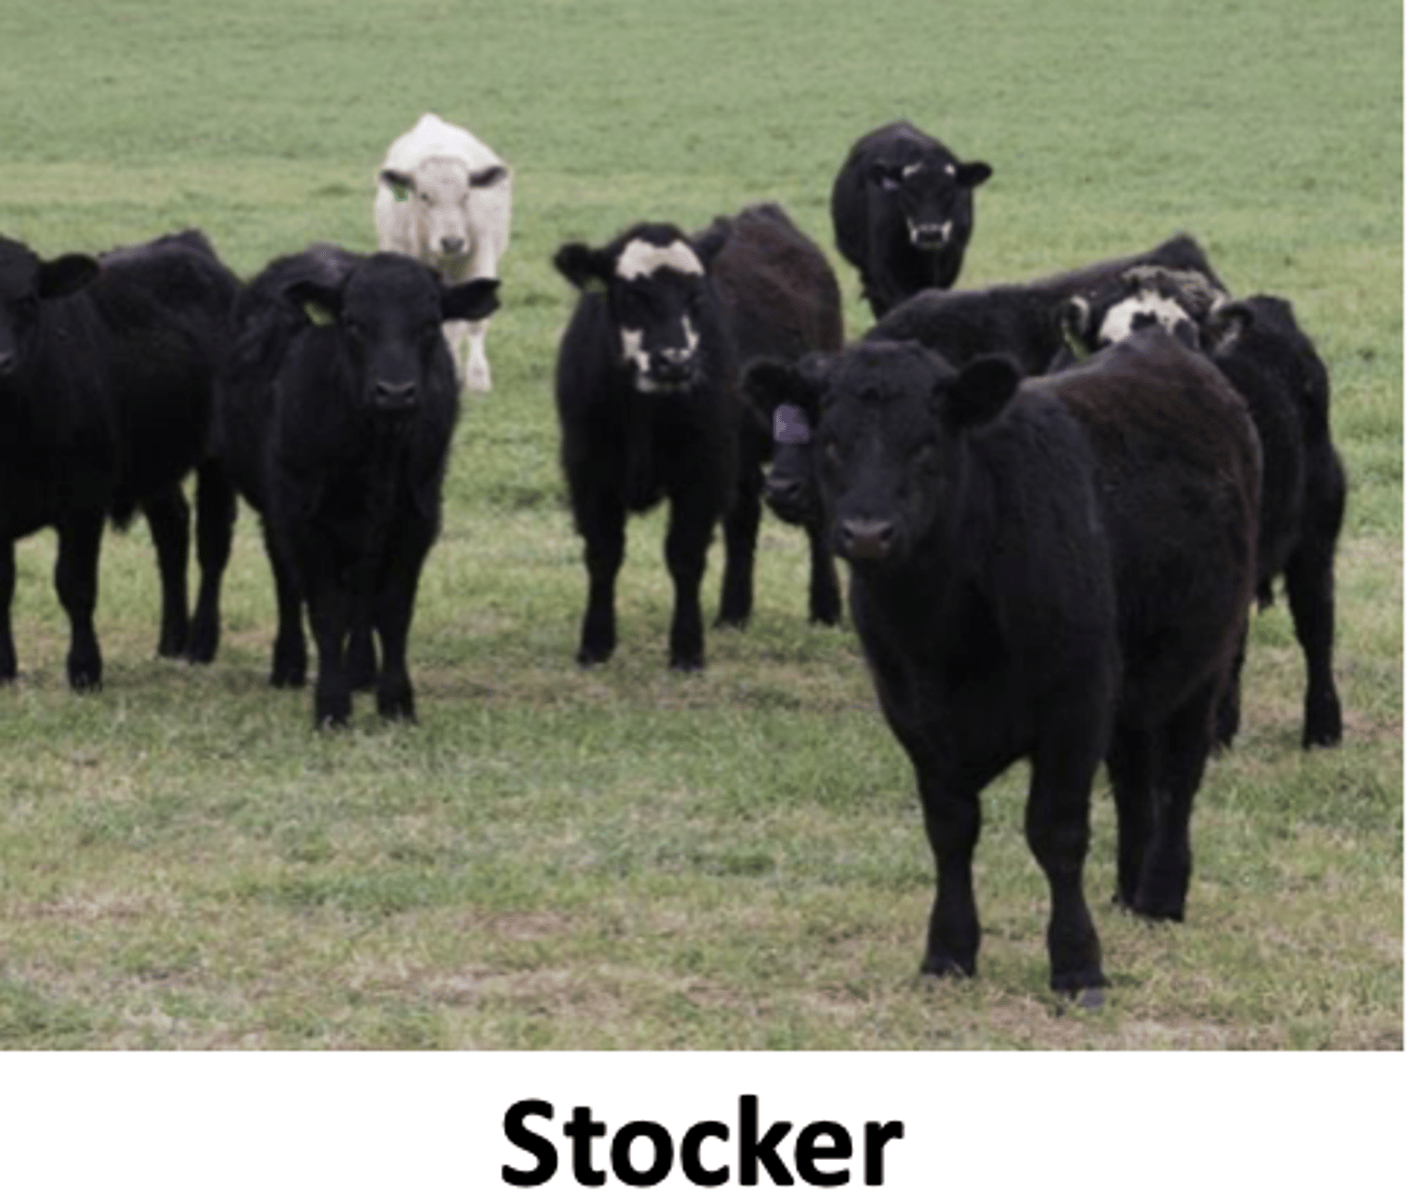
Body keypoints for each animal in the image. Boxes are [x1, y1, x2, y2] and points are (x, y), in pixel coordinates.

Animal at [0, 230, 238, 690]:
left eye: (28, 300)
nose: (0, 361)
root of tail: (187, 242)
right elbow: (1, 588)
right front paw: (3, 668)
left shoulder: (84, 499)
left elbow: (75, 584)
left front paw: (85, 669)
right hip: (154, 461)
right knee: (172, 531)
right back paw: (170, 641)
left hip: (220, 456)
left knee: (212, 543)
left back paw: (201, 643)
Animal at [213, 246, 498, 727]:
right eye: (353, 322)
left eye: (430, 323)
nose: (395, 392)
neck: (376, 454)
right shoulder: (303, 518)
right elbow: (326, 611)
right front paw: (331, 706)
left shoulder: (417, 519)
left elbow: (393, 610)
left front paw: (396, 701)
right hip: (275, 511)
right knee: (287, 582)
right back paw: (289, 665)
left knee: (362, 591)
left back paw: (361, 671)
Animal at [374, 112, 511, 394]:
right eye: (424, 196)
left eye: (466, 195)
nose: (452, 242)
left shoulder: (480, 263)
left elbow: (474, 323)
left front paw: (477, 378)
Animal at [552, 220, 741, 670]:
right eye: (632, 296)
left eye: (697, 296)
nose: (674, 362)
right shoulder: (588, 471)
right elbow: (603, 554)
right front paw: (595, 643)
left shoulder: (705, 471)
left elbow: (685, 556)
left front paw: (687, 649)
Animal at [742, 329, 1259, 1002]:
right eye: (830, 440)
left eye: (927, 443)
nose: (867, 533)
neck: (942, 625)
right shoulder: (912, 709)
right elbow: (950, 828)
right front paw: (948, 950)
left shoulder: (1075, 700)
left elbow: (1056, 831)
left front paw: (1077, 964)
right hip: (1129, 687)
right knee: (1132, 779)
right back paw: (1126, 890)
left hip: (1205, 663)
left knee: (1177, 777)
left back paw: (1160, 897)